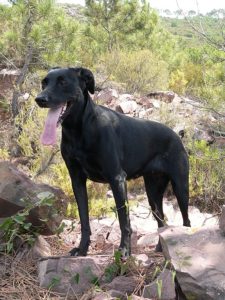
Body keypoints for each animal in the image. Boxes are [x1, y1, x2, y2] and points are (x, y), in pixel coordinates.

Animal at [36, 67, 191, 256]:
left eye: (63, 82)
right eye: (44, 83)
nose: (40, 99)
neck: (79, 129)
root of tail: (176, 135)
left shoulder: (117, 179)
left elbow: (124, 220)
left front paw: (124, 250)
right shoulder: (77, 180)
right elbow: (84, 219)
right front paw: (82, 248)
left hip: (180, 187)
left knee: (186, 221)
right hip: (153, 192)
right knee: (161, 220)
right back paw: (161, 248)